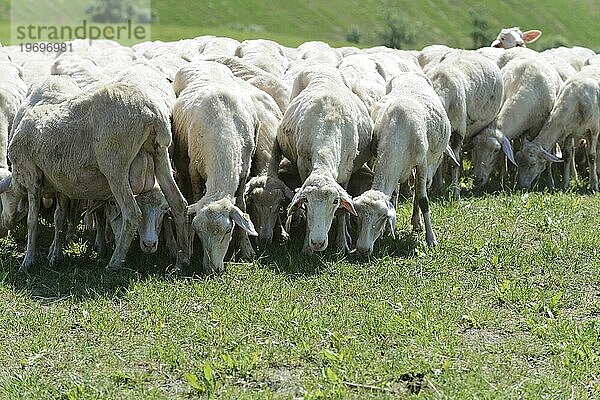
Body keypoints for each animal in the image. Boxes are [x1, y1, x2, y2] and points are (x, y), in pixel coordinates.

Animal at [0, 83, 190, 274]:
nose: (2, 227)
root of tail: (153, 114)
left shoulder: (31, 175)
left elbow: (32, 221)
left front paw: (27, 261)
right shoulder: (61, 183)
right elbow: (59, 218)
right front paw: (55, 255)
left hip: (115, 166)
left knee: (132, 214)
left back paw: (114, 262)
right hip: (160, 155)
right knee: (178, 203)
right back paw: (181, 261)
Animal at [172, 61, 258, 276]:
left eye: (228, 231)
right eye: (198, 232)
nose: (211, 270)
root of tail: (203, 61)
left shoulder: (244, 171)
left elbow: (242, 205)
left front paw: (247, 249)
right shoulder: (194, 170)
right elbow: (194, 197)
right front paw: (189, 248)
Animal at [276, 65, 370, 253]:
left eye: (335, 201)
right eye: (307, 201)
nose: (318, 243)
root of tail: (321, 65)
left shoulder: (346, 173)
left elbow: (343, 211)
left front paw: (342, 244)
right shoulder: (303, 166)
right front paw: (306, 247)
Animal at [352, 72, 450, 256]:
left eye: (381, 217)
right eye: (358, 217)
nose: (362, 250)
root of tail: (410, 73)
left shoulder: (422, 164)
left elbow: (423, 200)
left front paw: (431, 239)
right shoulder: (378, 156)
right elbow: (393, 196)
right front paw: (387, 231)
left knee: (418, 192)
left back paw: (417, 223)